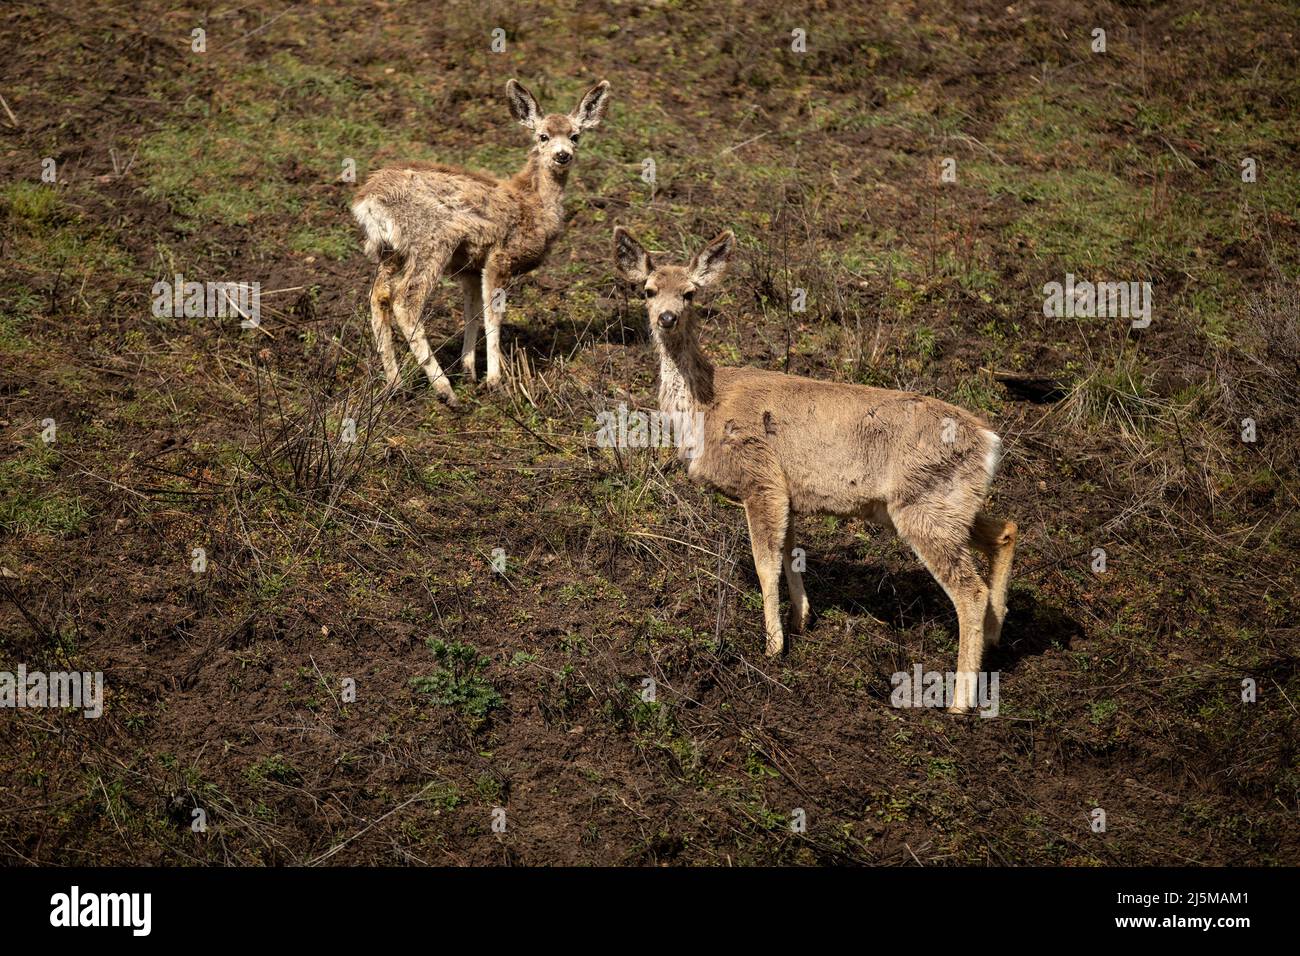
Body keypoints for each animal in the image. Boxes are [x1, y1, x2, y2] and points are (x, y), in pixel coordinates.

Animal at [348, 76, 605, 403]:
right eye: (543, 136)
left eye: (575, 136)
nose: (563, 155)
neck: (533, 203)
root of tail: (367, 199)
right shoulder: (500, 256)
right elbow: (494, 314)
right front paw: (494, 380)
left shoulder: (470, 266)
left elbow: (471, 312)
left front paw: (469, 370)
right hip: (432, 239)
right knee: (406, 300)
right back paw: (445, 391)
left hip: (389, 250)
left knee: (378, 296)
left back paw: (395, 385)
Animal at [613, 227, 1019, 712]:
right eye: (648, 290)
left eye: (691, 292)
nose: (668, 317)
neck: (704, 408)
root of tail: (990, 442)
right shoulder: (787, 490)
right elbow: (790, 554)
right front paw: (802, 620)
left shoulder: (761, 476)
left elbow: (765, 564)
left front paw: (773, 646)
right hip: (947, 504)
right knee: (1006, 530)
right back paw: (995, 638)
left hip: (924, 505)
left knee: (969, 591)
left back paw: (959, 701)